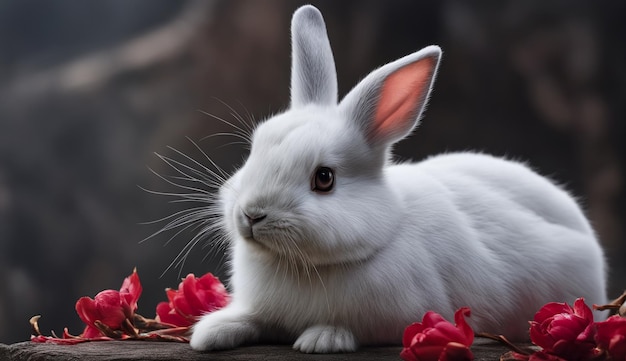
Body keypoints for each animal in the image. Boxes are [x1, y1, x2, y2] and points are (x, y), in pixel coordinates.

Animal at [188, 3, 604, 352]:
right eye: (255, 149)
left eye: (324, 178)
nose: (251, 214)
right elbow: (251, 318)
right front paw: (211, 331)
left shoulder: (393, 317)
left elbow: (351, 329)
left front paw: (322, 338)